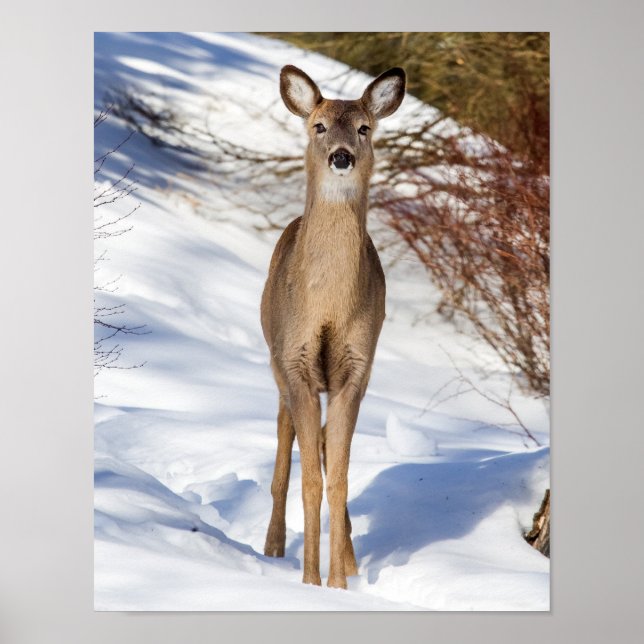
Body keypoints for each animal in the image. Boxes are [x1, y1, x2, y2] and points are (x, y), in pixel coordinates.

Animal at [261, 65, 406, 589]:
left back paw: (349, 560)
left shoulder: (355, 369)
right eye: (319, 126)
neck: (327, 307)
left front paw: (340, 583)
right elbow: (309, 480)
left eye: (364, 128)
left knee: (323, 445)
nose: (341, 155)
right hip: (276, 361)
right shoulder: (297, 361)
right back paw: (273, 546)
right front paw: (310, 583)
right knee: (285, 446)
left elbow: (339, 476)